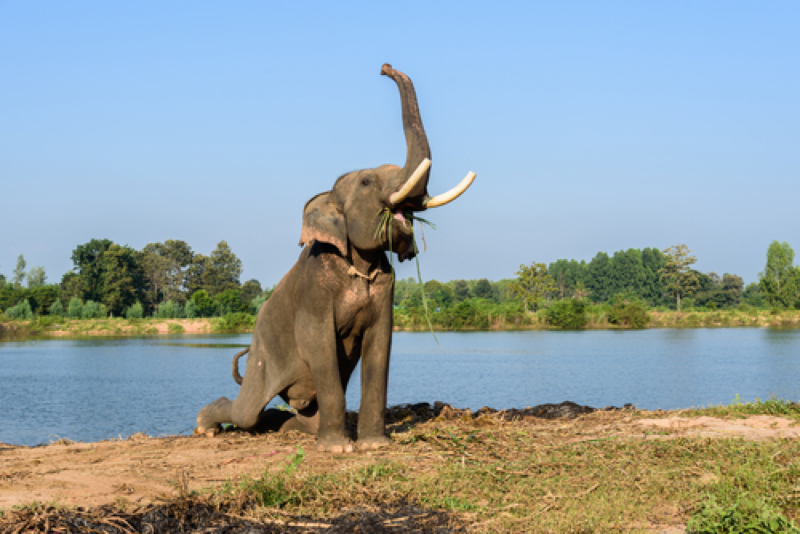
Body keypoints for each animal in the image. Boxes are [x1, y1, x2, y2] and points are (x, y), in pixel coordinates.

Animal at [195, 64, 476, 452]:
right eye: (367, 182)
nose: (385, 68)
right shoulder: (315, 287)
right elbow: (319, 341)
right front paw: (338, 449)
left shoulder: (386, 286)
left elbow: (380, 344)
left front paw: (373, 445)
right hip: (262, 355)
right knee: (246, 411)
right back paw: (204, 427)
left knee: (287, 417)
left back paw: (285, 429)